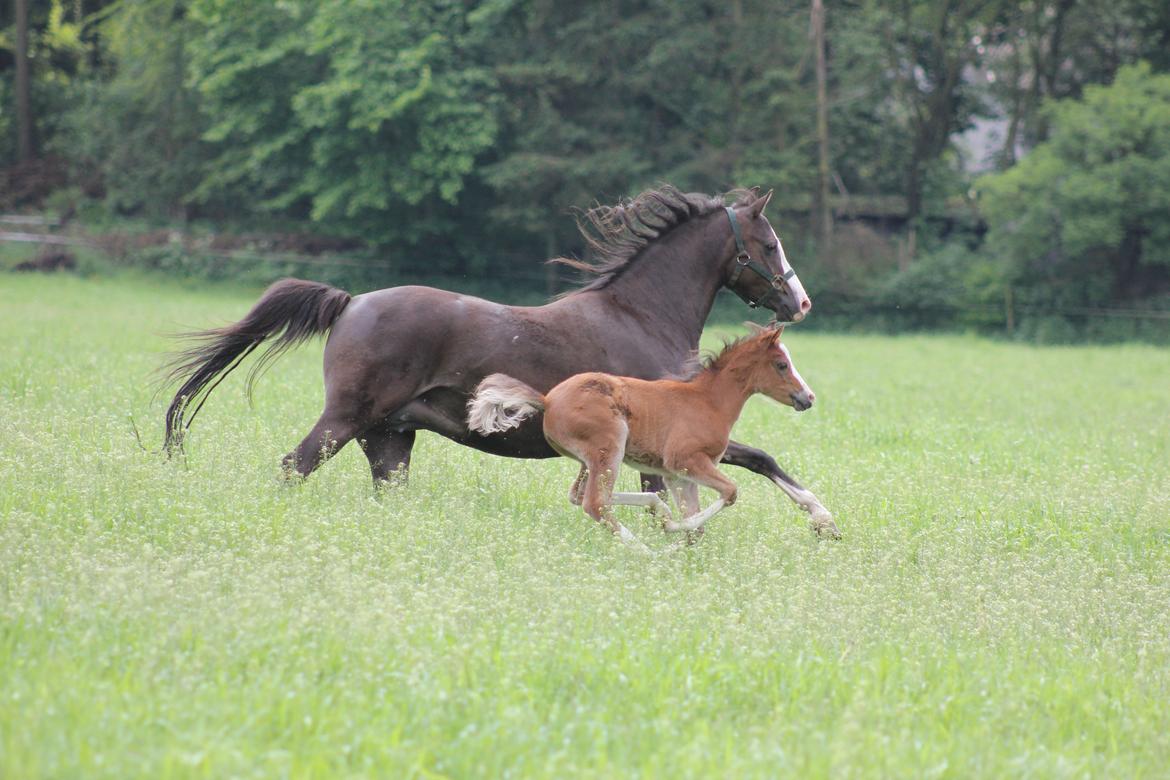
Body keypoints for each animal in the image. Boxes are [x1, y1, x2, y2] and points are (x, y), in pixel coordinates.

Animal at [467, 322, 823, 549]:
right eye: (781, 364)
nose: (808, 398)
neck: (708, 401)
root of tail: (547, 399)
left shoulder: (679, 476)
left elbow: (698, 526)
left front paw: (679, 541)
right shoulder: (687, 461)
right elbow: (730, 492)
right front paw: (671, 530)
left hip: (591, 459)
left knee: (580, 496)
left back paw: (656, 511)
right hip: (610, 448)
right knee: (595, 503)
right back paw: (643, 550)